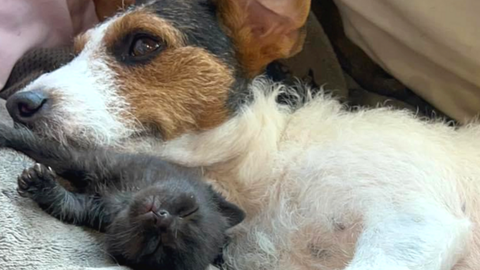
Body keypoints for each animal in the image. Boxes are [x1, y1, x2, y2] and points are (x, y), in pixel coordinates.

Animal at [0, 124, 246, 270]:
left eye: (159, 245)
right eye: (188, 212)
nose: (162, 218)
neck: (125, 196)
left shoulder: (95, 210)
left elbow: (67, 205)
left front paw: (40, 184)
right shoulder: (98, 160)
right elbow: (52, 151)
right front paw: (7, 132)